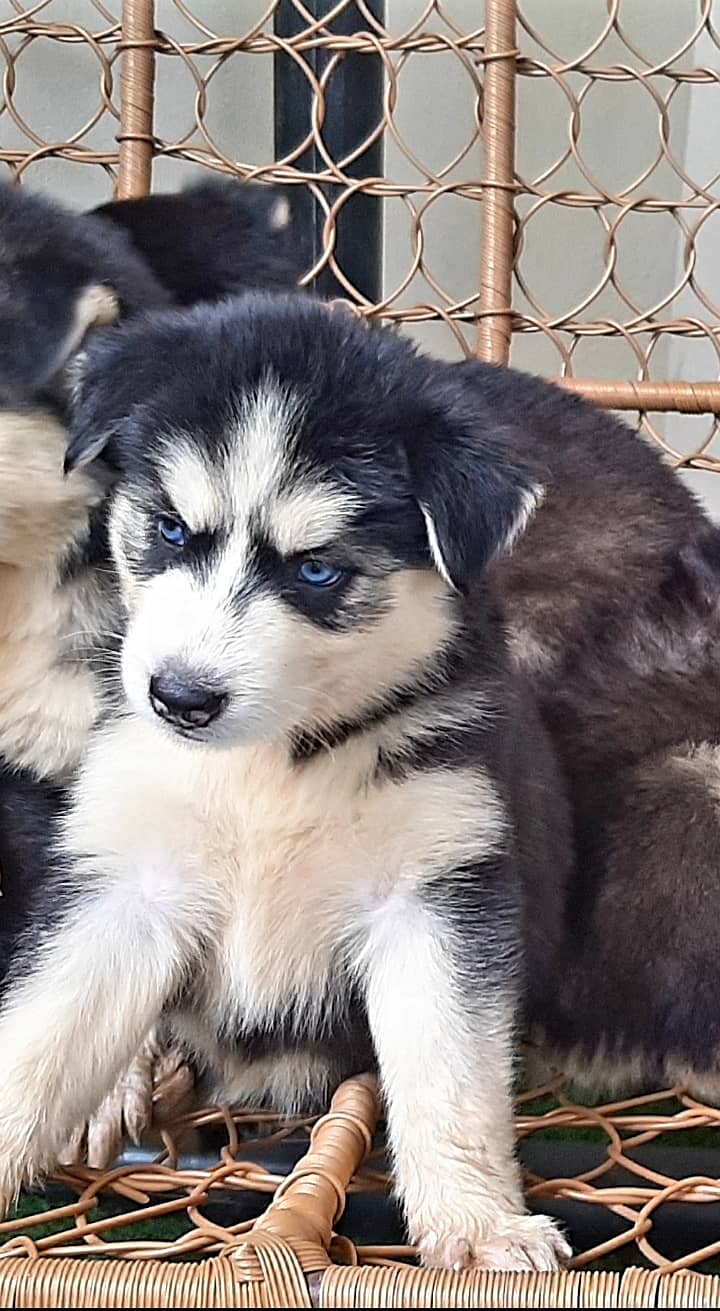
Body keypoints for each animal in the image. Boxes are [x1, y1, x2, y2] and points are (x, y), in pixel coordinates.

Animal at [0, 294, 571, 1269]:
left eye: (316, 568)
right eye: (169, 529)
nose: (180, 698)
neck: (270, 764)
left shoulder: (434, 892)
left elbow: (449, 1074)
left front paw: (478, 1223)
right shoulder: (130, 881)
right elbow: (42, 1034)